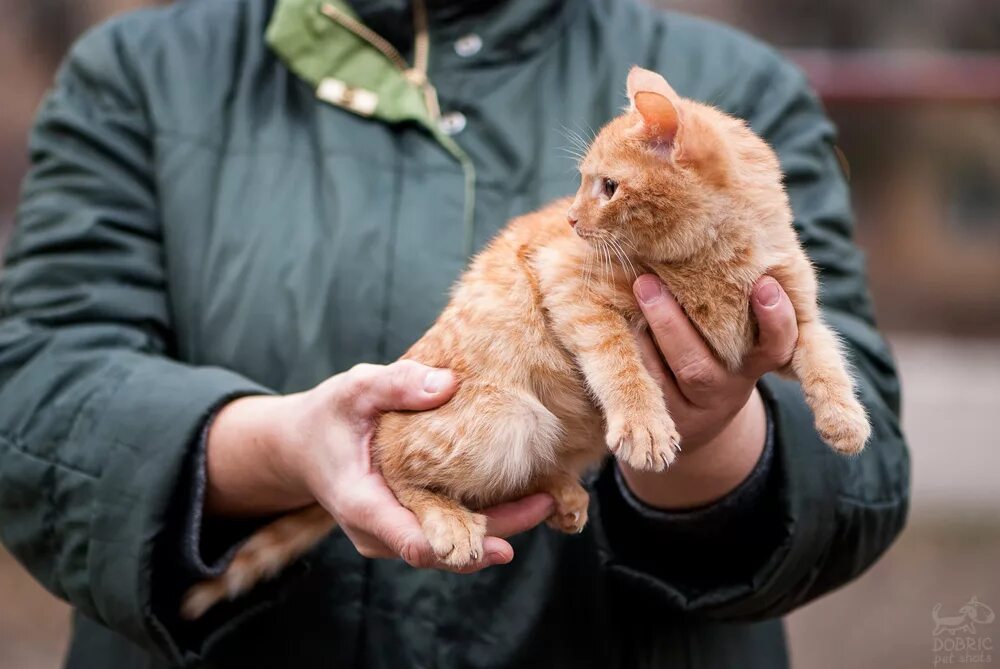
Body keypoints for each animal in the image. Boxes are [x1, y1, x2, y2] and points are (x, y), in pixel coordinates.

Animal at [180, 65, 868, 620]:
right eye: (584, 184)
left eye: (608, 187)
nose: (572, 219)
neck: (713, 258)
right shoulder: (569, 283)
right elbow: (620, 363)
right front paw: (644, 425)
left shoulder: (791, 310)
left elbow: (826, 357)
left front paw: (844, 420)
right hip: (506, 417)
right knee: (394, 468)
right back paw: (450, 518)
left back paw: (561, 492)